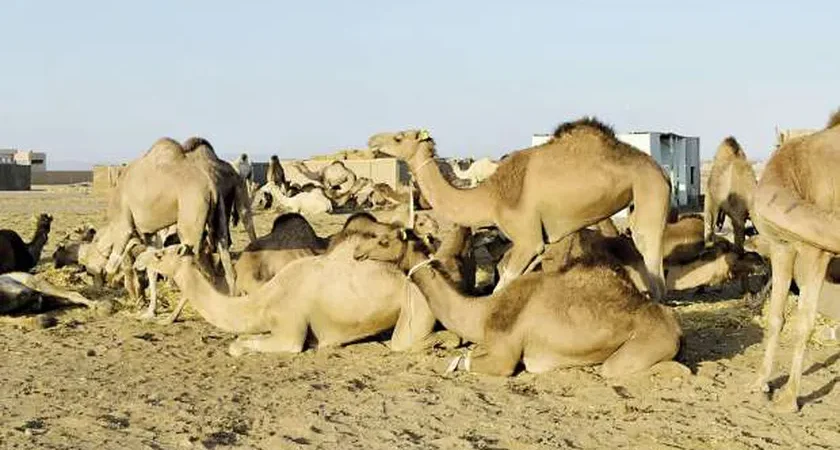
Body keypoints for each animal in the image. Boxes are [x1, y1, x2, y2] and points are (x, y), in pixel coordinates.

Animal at [132, 219, 436, 356]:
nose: (138, 260)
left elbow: (238, 345)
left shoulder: (291, 331)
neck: (263, 301)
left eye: (160, 255)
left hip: (418, 303)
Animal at [352, 225, 683, 377]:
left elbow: (462, 362)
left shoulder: (504, 354)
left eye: (383, 240)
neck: (483, 313)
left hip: (648, 342)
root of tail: (676, 329)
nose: (357, 252)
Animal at [368, 118, 671, 300]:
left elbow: (503, 283)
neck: (491, 196)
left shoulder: (528, 237)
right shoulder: (541, 242)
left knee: (649, 248)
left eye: (399, 138)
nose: (373, 140)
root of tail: (663, 171)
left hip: (649, 191)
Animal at [749, 108, 840, 412]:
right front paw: (760, 384)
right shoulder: (782, 247)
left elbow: (805, 322)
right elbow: (776, 316)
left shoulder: (817, 251)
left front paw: (788, 399)